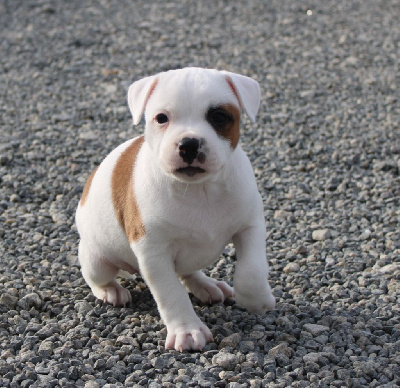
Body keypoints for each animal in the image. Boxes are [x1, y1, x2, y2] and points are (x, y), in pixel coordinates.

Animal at [75, 66, 276, 352]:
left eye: (219, 116)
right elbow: (171, 292)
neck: (199, 189)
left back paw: (206, 285)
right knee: (95, 276)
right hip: (97, 259)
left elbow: (253, 269)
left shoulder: (251, 226)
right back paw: (110, 290)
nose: (189, 143)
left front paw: (256, 300)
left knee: (187, 271)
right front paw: (187, 329)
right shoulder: (153, 253)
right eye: (161, 118)